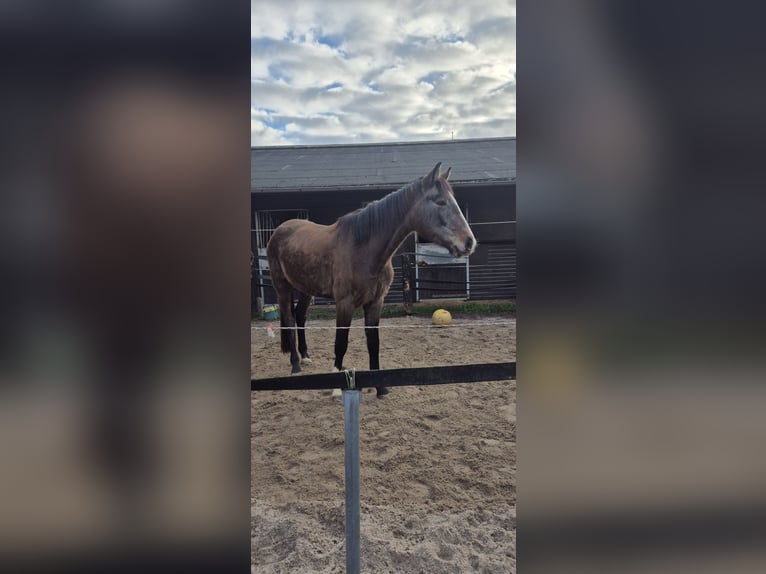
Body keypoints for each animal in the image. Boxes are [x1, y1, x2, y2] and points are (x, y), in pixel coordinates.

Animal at [266, 162, 477, 397]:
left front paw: (380, 387)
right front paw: (337, 387)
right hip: (282, 287)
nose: (469, 242)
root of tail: (280, 230)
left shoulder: (376, 302)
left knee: (300, 316)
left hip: (305, 288)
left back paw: (305, 356)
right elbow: (341, 343)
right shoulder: (345, 304)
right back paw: (295, 364)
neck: (363, 250)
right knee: (289, 319)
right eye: (440, 201)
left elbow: (373, 343)